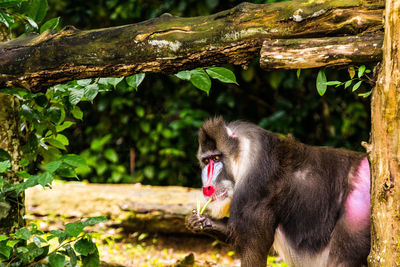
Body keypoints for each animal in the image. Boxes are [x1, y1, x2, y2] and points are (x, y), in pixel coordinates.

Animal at [186, 118, 370, 267]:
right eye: (206, 160)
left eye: (217, 158)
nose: (207, 187)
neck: (243, 153)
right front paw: (200, 221)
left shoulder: (256, 186)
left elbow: (253, 244)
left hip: (357, 213)